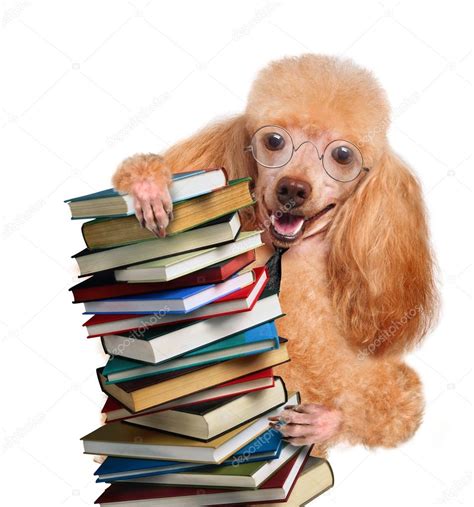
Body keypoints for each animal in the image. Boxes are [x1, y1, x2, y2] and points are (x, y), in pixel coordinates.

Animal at [111, 54, 436, 456]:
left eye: (342, 155)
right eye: (274, 140)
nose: (292, 188)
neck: (285, 254)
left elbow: (395, 402)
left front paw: (321, 422)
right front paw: (149, 186)